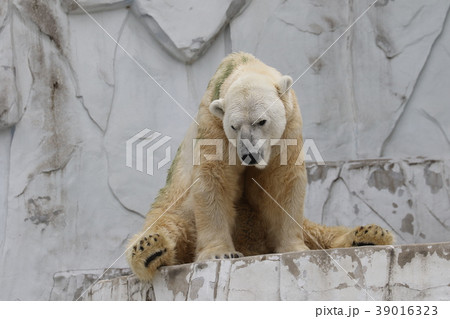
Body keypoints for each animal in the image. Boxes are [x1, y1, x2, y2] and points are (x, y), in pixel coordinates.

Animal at [126, 52, 394, 280]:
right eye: (234, 126)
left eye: (261, 121)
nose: (249, 155)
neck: (244, 65)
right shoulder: (214, 127)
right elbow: (214, 179)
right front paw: (221, 252)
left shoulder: (289, 127)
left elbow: (282, 182)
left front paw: (294, 248)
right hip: (177, 209)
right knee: (168, 226)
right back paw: (150, 249)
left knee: (319, 232)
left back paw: (370, 234)